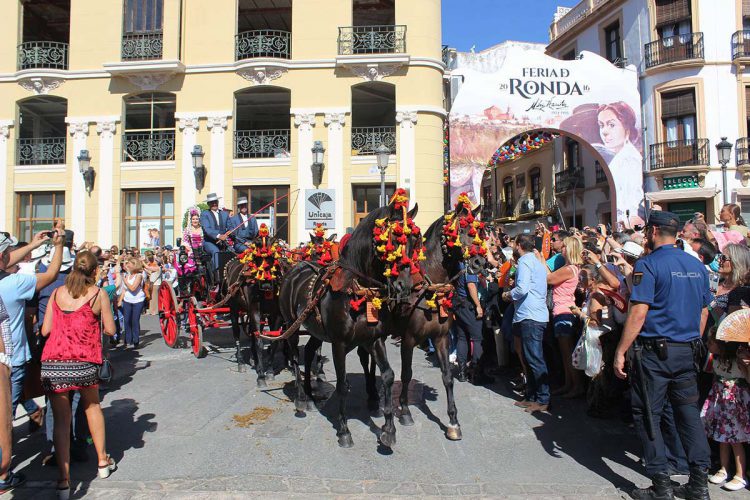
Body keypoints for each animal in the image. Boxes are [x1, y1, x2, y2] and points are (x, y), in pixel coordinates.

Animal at [280, 201, 424, 448]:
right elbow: (342, 384)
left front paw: (388, 428)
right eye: (391, 240)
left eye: (415, 241)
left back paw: (310, 396)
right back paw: (300, 399)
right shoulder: (338, 344)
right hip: (291, 326)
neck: (356, 290)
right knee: (295, 357)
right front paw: (344, 430)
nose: (404, 286)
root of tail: (296, 268)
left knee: (308, 352)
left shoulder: (374, 339)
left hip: (316, 330)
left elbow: (388, 375)